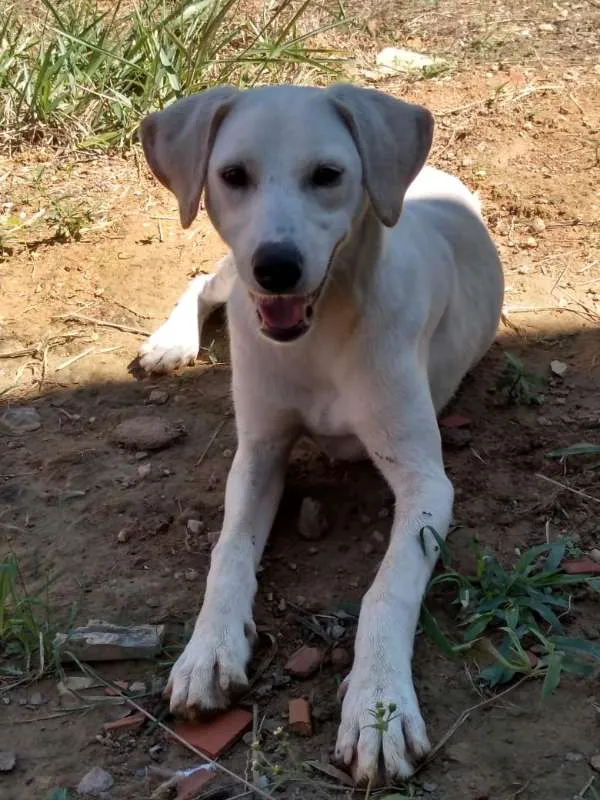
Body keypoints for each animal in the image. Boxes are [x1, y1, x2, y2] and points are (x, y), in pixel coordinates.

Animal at [138, 84, 504, 784]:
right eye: (233, 175)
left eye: (328, 175)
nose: (276, 267)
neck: (325, 330)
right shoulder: (258, 452)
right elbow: (228, 552)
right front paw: (209, 648)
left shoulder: (425, 482)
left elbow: (388, 589)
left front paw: (380, 708)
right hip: (232, 271)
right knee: (205, 279)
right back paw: (170, 342)